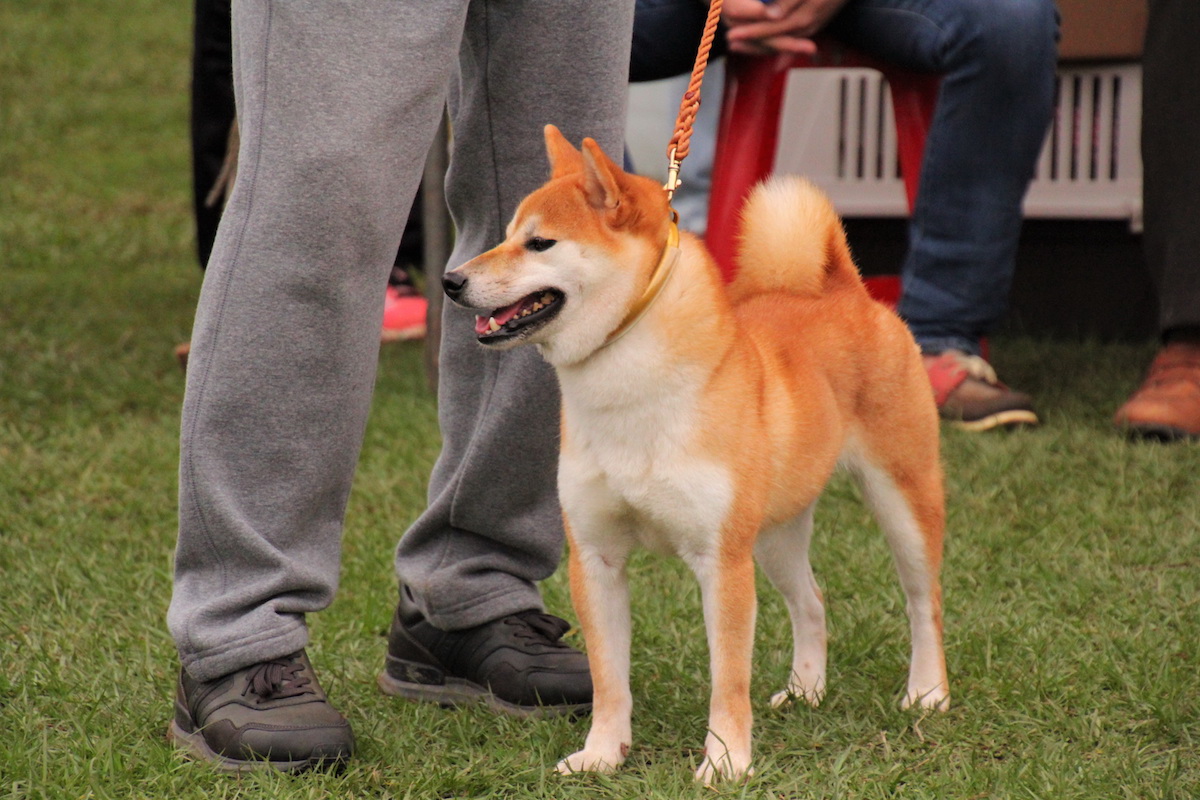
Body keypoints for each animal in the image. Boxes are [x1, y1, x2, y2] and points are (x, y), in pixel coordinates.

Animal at [439, 128, 945, 786]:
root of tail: (847, 292)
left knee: (923, 602)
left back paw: (927, 692)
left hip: (900, 498)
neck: (628, 391)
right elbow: (608, 680)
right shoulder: (595, 557)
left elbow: (727, 680)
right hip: (774, 534)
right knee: (811, 600)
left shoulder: (720, 561)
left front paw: (726, 761)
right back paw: (805, 690)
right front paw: (602, 754)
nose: (450, 280)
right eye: (504, 235)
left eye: (539, 242)